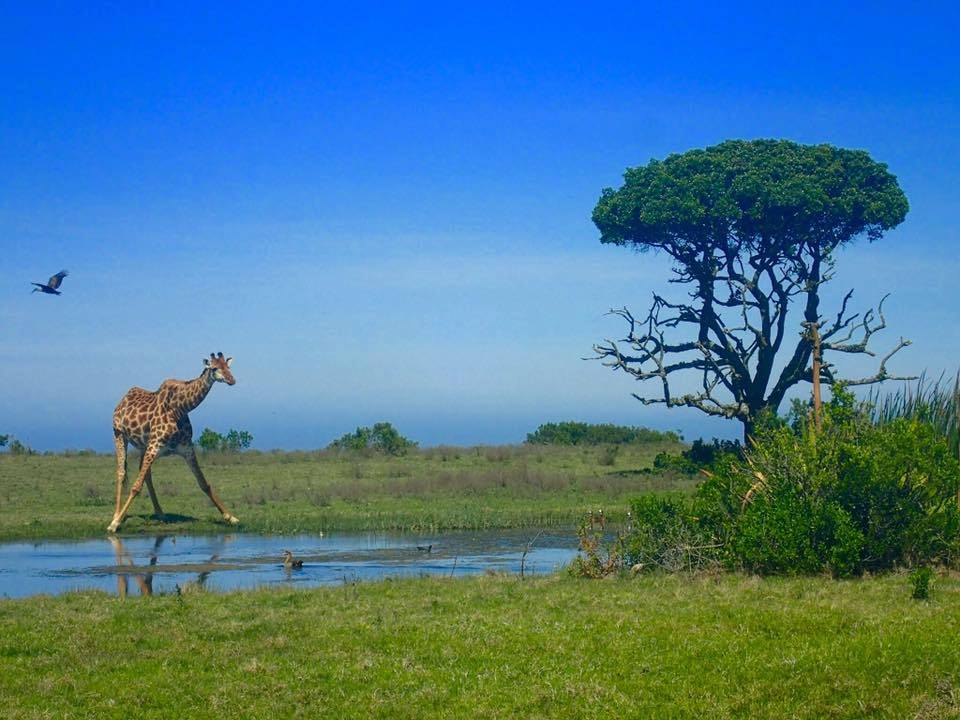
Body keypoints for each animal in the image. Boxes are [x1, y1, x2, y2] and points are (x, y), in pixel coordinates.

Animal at [108, 352, 240, 532]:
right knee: (121, 472)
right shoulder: (155, 445)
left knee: (146, 473)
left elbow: (204, 483)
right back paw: (116, 515)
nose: (231, 380)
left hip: (143, 445)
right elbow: (135, 486)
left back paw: (160, 513)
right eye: (214, 368)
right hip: (119, 434)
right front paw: (114, 524)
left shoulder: (187, 448)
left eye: (228, 367)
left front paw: (231, 517)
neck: (180, 407)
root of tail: (121, 400)